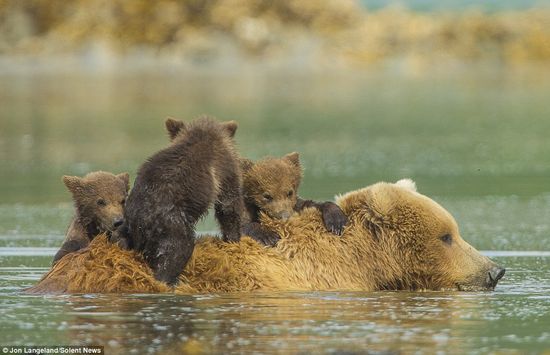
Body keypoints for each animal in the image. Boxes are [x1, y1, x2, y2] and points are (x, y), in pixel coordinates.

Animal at [113, 116, 245, 286]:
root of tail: (141, 225)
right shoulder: (225, 167)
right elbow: (229, 205)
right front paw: (233, 239)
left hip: (127, 223)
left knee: (119, 237)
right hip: (172, 227)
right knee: (175, 253)